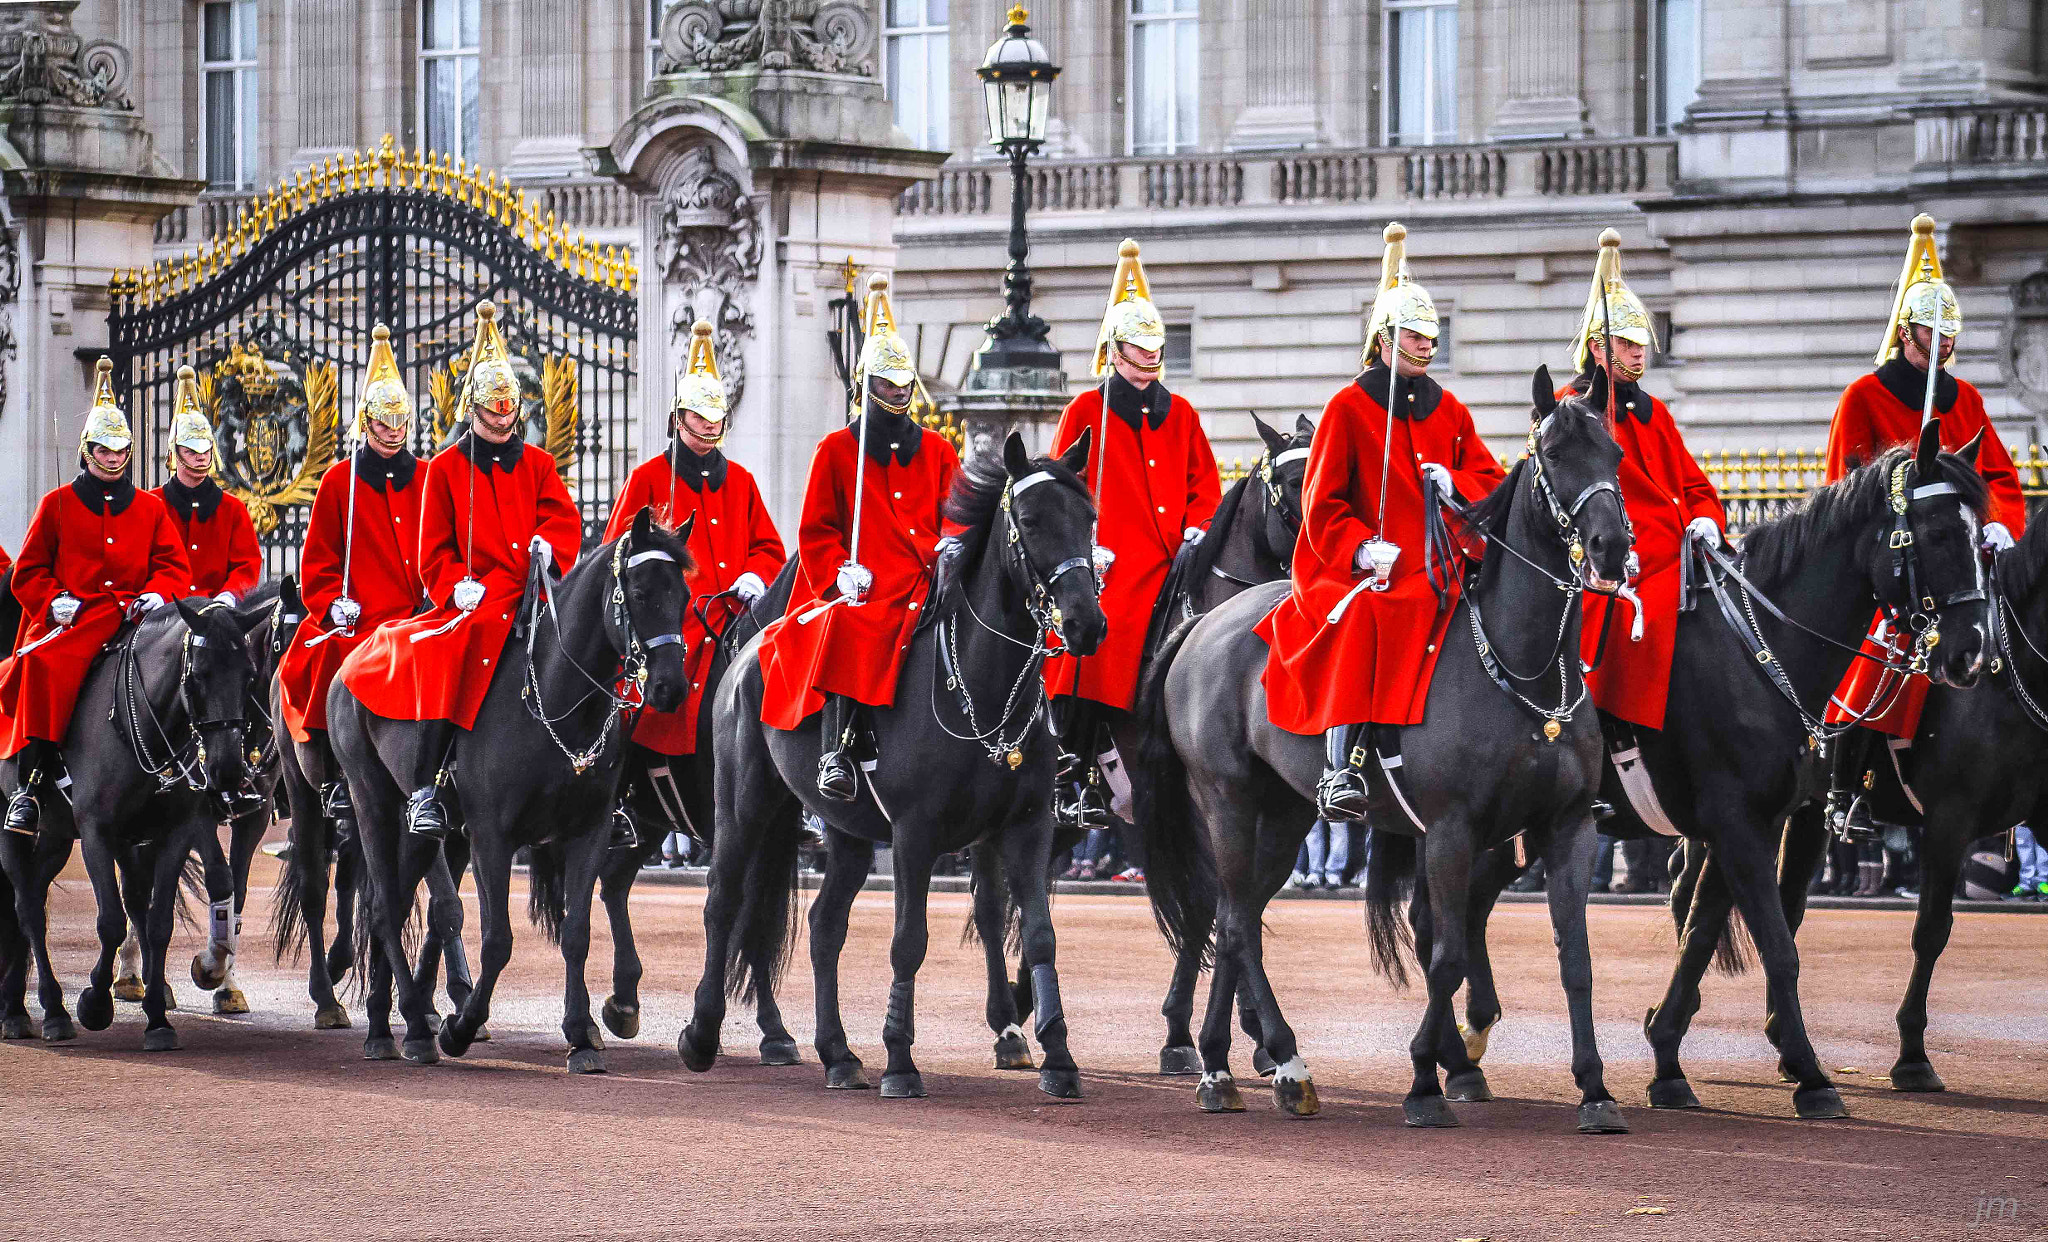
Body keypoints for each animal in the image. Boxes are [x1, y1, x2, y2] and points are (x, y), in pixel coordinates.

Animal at [0, 602, 262, 1049]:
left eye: (249, 675)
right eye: (198, 676)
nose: (227, 771)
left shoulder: (175, 833)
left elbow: (158, 924)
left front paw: (157, 1019)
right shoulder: (96, 833)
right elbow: (110, 921)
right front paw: (94, 1003)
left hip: (55, 836)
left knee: (29, 905)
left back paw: (19, 1011)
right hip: (14, 833)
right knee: (28, 908)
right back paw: (50, 1011)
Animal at [331, 510, 692, 1073]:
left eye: (685, 595)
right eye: (638, 590)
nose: (670, 689)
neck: (560, 699)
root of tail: (356, 654)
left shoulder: (588, 833)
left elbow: (576, 932)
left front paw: (580, 1036)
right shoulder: (491, 838)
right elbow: (497, 938)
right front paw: (461, 1027)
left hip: (421, 832)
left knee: (392, 903)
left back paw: (391, 1027)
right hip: (373, 802)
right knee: (386, 908)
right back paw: (414, 1027)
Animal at [684, 430, 1105, 1098]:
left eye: (1088, 519)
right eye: (1032, 520)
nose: (1087, 624)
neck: (984, 685)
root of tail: (749, 648)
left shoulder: (1028, 827)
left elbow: (1038, 935)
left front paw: (1058, 1059)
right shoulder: (915, 834)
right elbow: (909, 941)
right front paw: (901, 1059)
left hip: (847, 832)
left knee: (825, 925)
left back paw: (837, 1053)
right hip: (745, 806)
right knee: (724, 898)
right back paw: (701, 1035)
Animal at [1138, 364, 1630, 1131]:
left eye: (1614, 453)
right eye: (1553, 454)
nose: (1612, 548)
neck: (1524, 670)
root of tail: (1204, 624)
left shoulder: (1567, 827)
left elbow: (1572, 956)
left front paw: (1594, 1088)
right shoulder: (1453, 831)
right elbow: (1447, 953)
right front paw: (1428, 1077)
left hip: (1285, 814)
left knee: (1234, 914)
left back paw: (1228, 1063)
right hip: (1227, 801)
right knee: (1231, 917)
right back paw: (1269, 1061)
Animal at [1433, 424, 1990, 1123]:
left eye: (1983, 536)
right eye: (1938, 532)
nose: (1972, 653)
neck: (1758, 644)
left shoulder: (1749, 822)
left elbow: (1699, 935)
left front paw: (1667, 1056)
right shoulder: (1737, 823)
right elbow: (1777, 944)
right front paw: (1811, 1076)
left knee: (1474, 899)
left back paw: (1467, 1049)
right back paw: (1457, 1052)